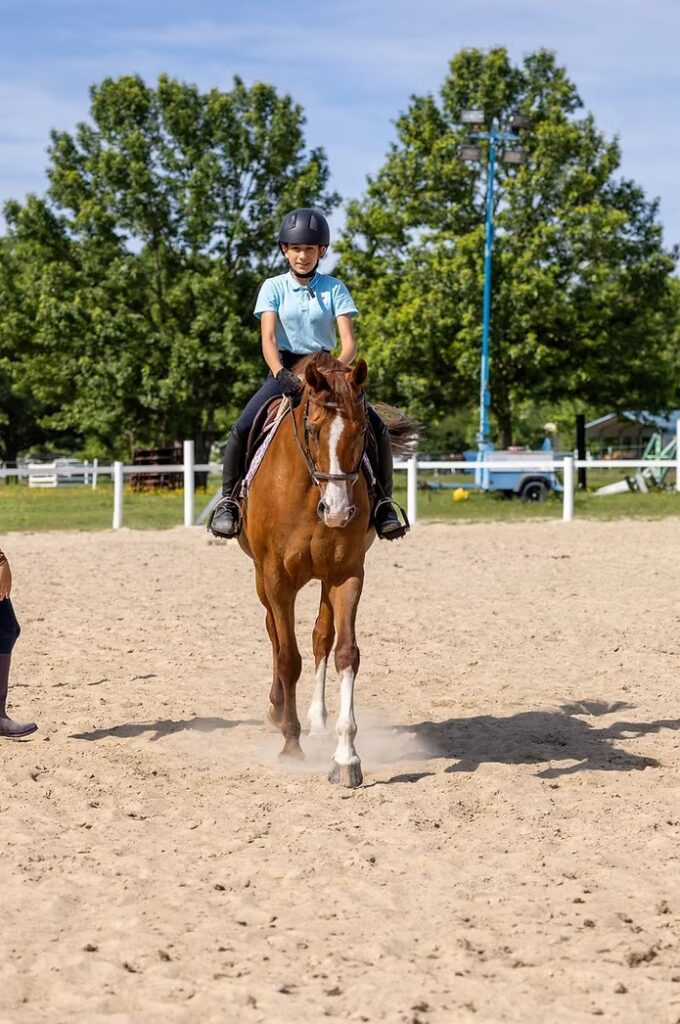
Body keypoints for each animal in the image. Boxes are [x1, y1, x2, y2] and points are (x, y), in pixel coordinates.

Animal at [237, 351, 417, 788]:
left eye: (361, 431)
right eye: (313, 431)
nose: (336, 512)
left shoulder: (346, 574)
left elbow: (344, 652)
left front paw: (346, 758)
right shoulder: (277, 579)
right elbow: (288, 657)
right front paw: (290, 744)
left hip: (322, 579)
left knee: (320, 637)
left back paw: (316, 719)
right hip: (262, 580)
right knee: (274, 635)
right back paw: (278, 709)